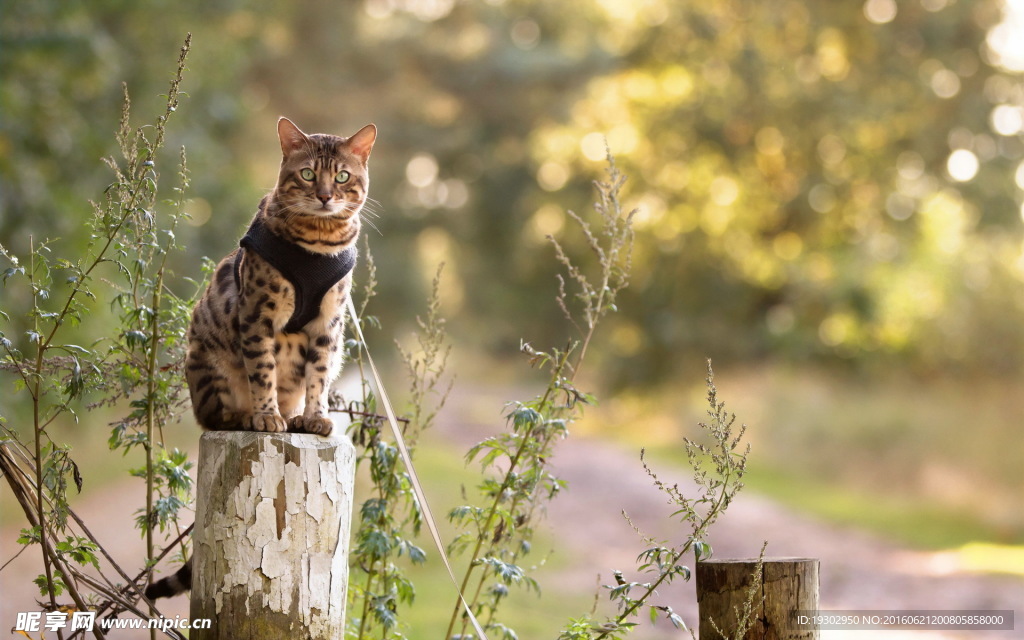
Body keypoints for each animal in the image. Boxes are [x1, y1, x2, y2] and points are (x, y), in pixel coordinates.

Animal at [146, 116, 374, 598]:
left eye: (343, 176)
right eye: (307, 173)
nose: (325, 194)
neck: (320, 241)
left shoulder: (330, 324)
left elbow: (318, 376)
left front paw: (315, 416)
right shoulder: (257, 315)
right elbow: (263, 369)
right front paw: (267, 416)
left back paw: (294, 417)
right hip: (209, 363)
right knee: (214, 415)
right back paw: (250, 416)